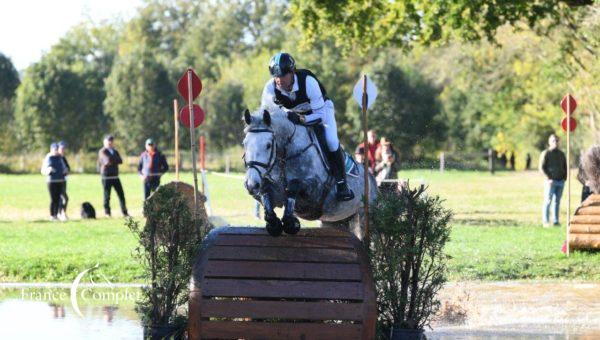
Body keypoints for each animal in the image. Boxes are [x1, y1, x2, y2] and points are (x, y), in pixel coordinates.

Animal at [243, 107, 376, 238]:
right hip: (334, 221)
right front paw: (273, 223)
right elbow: (266, 192)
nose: (251, 185)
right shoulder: (275, 192)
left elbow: (293, 186)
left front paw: (290, 223)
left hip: (364, 216)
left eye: (268, 145)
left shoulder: (316, 190)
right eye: (244, 143)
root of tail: (370, 177)